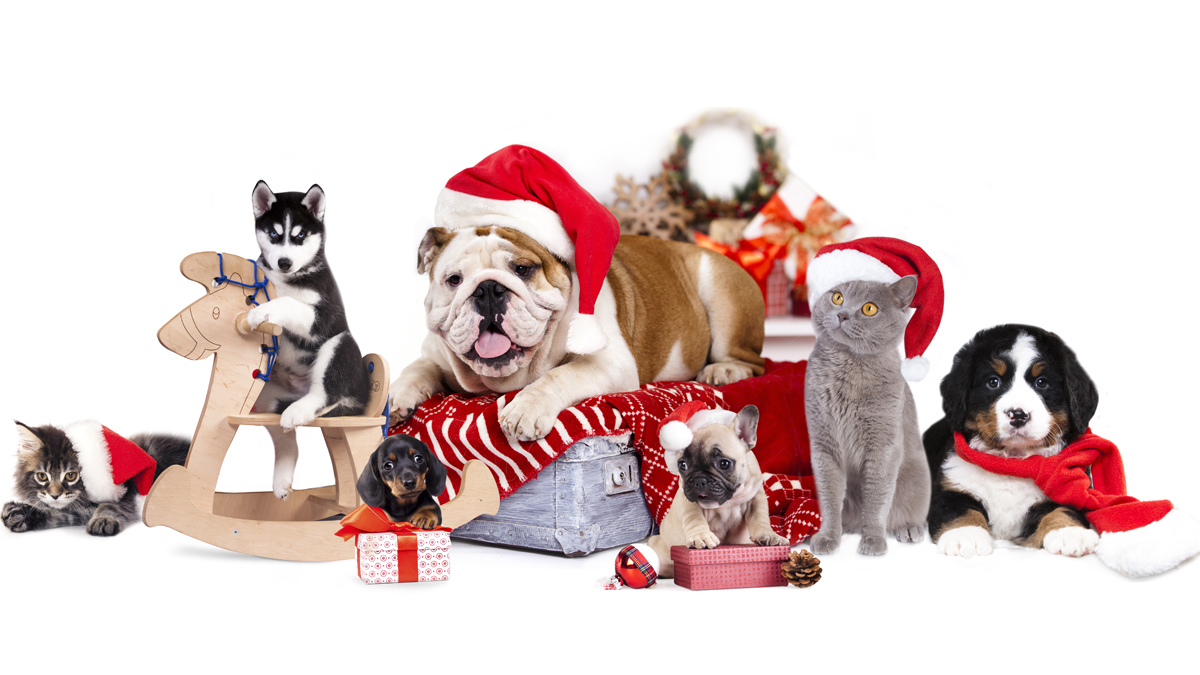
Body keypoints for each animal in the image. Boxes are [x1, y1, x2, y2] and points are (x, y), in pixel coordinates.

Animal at [4, 420, 189, 535]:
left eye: (71, 476)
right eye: (42, 476)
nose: (55, 495)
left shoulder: (124, 497)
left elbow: (110, 506)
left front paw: (103, 520)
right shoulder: (75, 511)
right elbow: (57, 513)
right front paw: (19, 512)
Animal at [246, 181, 367, 497]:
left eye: (300, 236)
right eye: (274, 234)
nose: (284, 262)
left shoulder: (323, 317)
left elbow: (289, 303)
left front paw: (262, 312)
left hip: (341, 344)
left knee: (326, 395)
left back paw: (298, 411)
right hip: (266, 395)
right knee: (281, 430)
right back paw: (282, 478)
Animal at [648, 401, 787, 576]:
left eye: (724, 463)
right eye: (682, 465)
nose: (699, 480)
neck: (728, 502)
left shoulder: (756, 497)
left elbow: (760, 517)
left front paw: (768, 535)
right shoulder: (687, 501)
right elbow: (695, 519)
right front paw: (701, 536)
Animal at [801, 275, 931, 552]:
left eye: (869, 308)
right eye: (837, 297)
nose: (842, 314)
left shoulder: (882, 446)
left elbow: (876, 497)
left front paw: (872, 540)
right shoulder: (824, 444)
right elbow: (829, 496)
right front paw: (828, 537)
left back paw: (908, 528)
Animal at [921, 324, 1099, 554]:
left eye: (1042, 383)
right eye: (993, 382)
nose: (1018, 414)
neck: (1011, 464)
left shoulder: (1069, 490)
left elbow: (1062, 510)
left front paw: (1069, 533)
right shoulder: (950, 488)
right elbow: (960, 510)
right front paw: (966, 536)